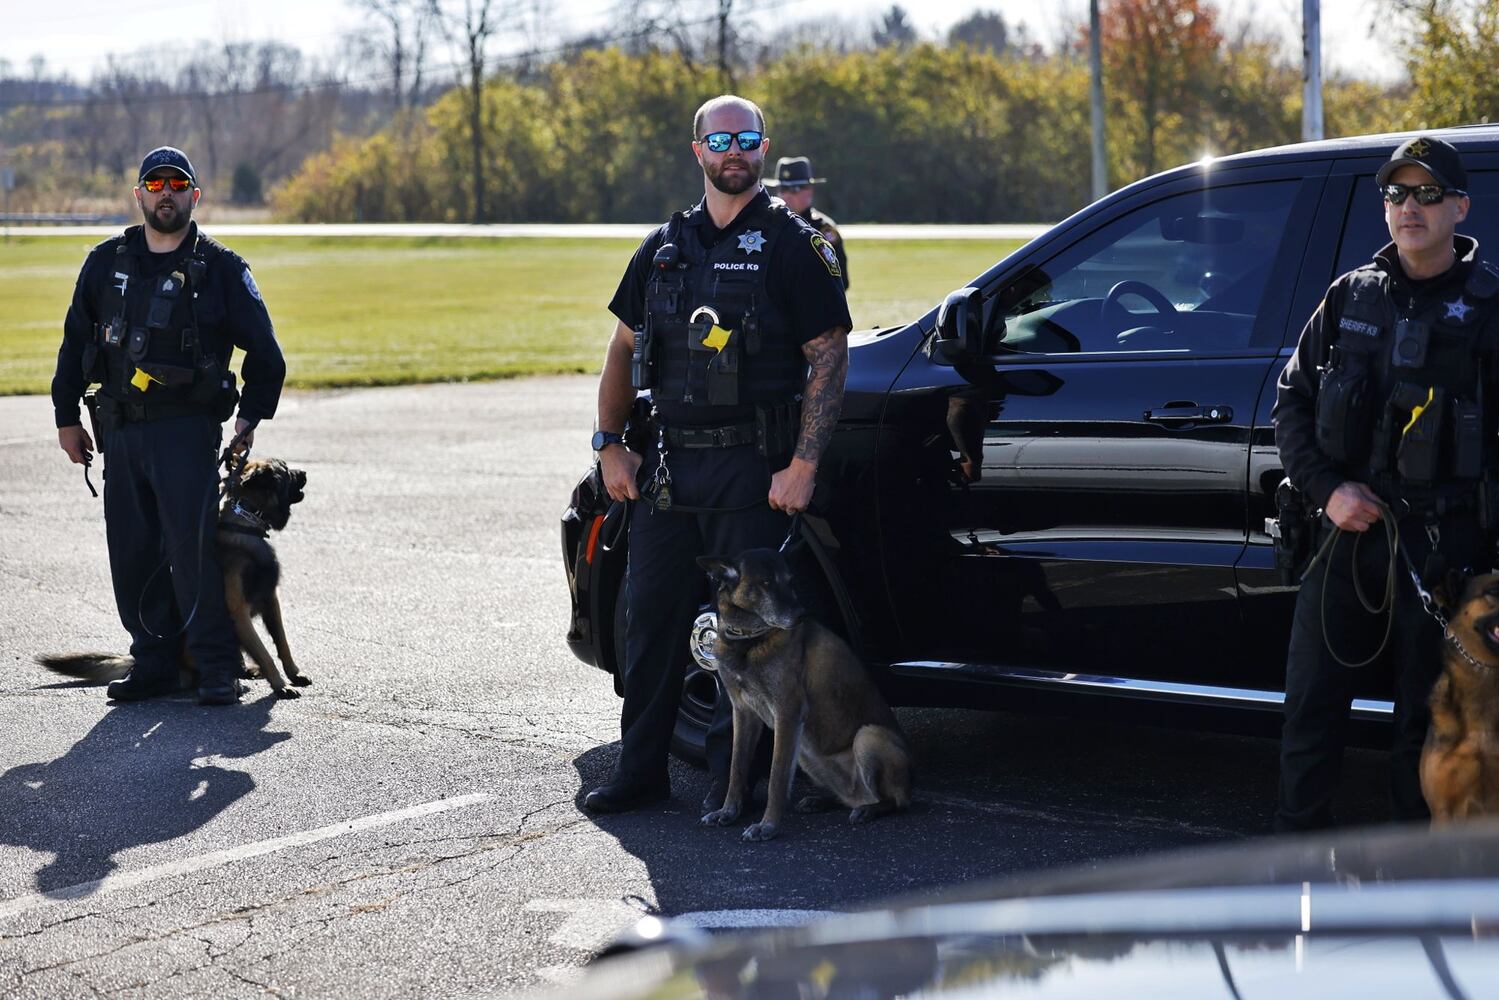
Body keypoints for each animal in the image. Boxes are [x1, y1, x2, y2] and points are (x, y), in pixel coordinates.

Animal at [37, 458, 310, 701]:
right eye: (286, 469)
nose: (305, 472)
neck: (245, 524)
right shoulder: (239, 611)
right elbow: (264, 652)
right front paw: (280, 684)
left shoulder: (270, 600)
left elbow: (282, 642)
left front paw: (293, 674)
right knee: (195, 673)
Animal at [692, 551, 911, 839]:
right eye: (766, 583)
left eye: (790, 580)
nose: (801, 615)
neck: (750, 640)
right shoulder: (744, 713)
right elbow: (737, 768)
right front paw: (728, 811)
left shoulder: (788, 713)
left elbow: (776, 777)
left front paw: (767, 826)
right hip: (807, 755)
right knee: (848, 797)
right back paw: (822, 800)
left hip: (868, 736)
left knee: (894, 801)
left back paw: (869, 810)